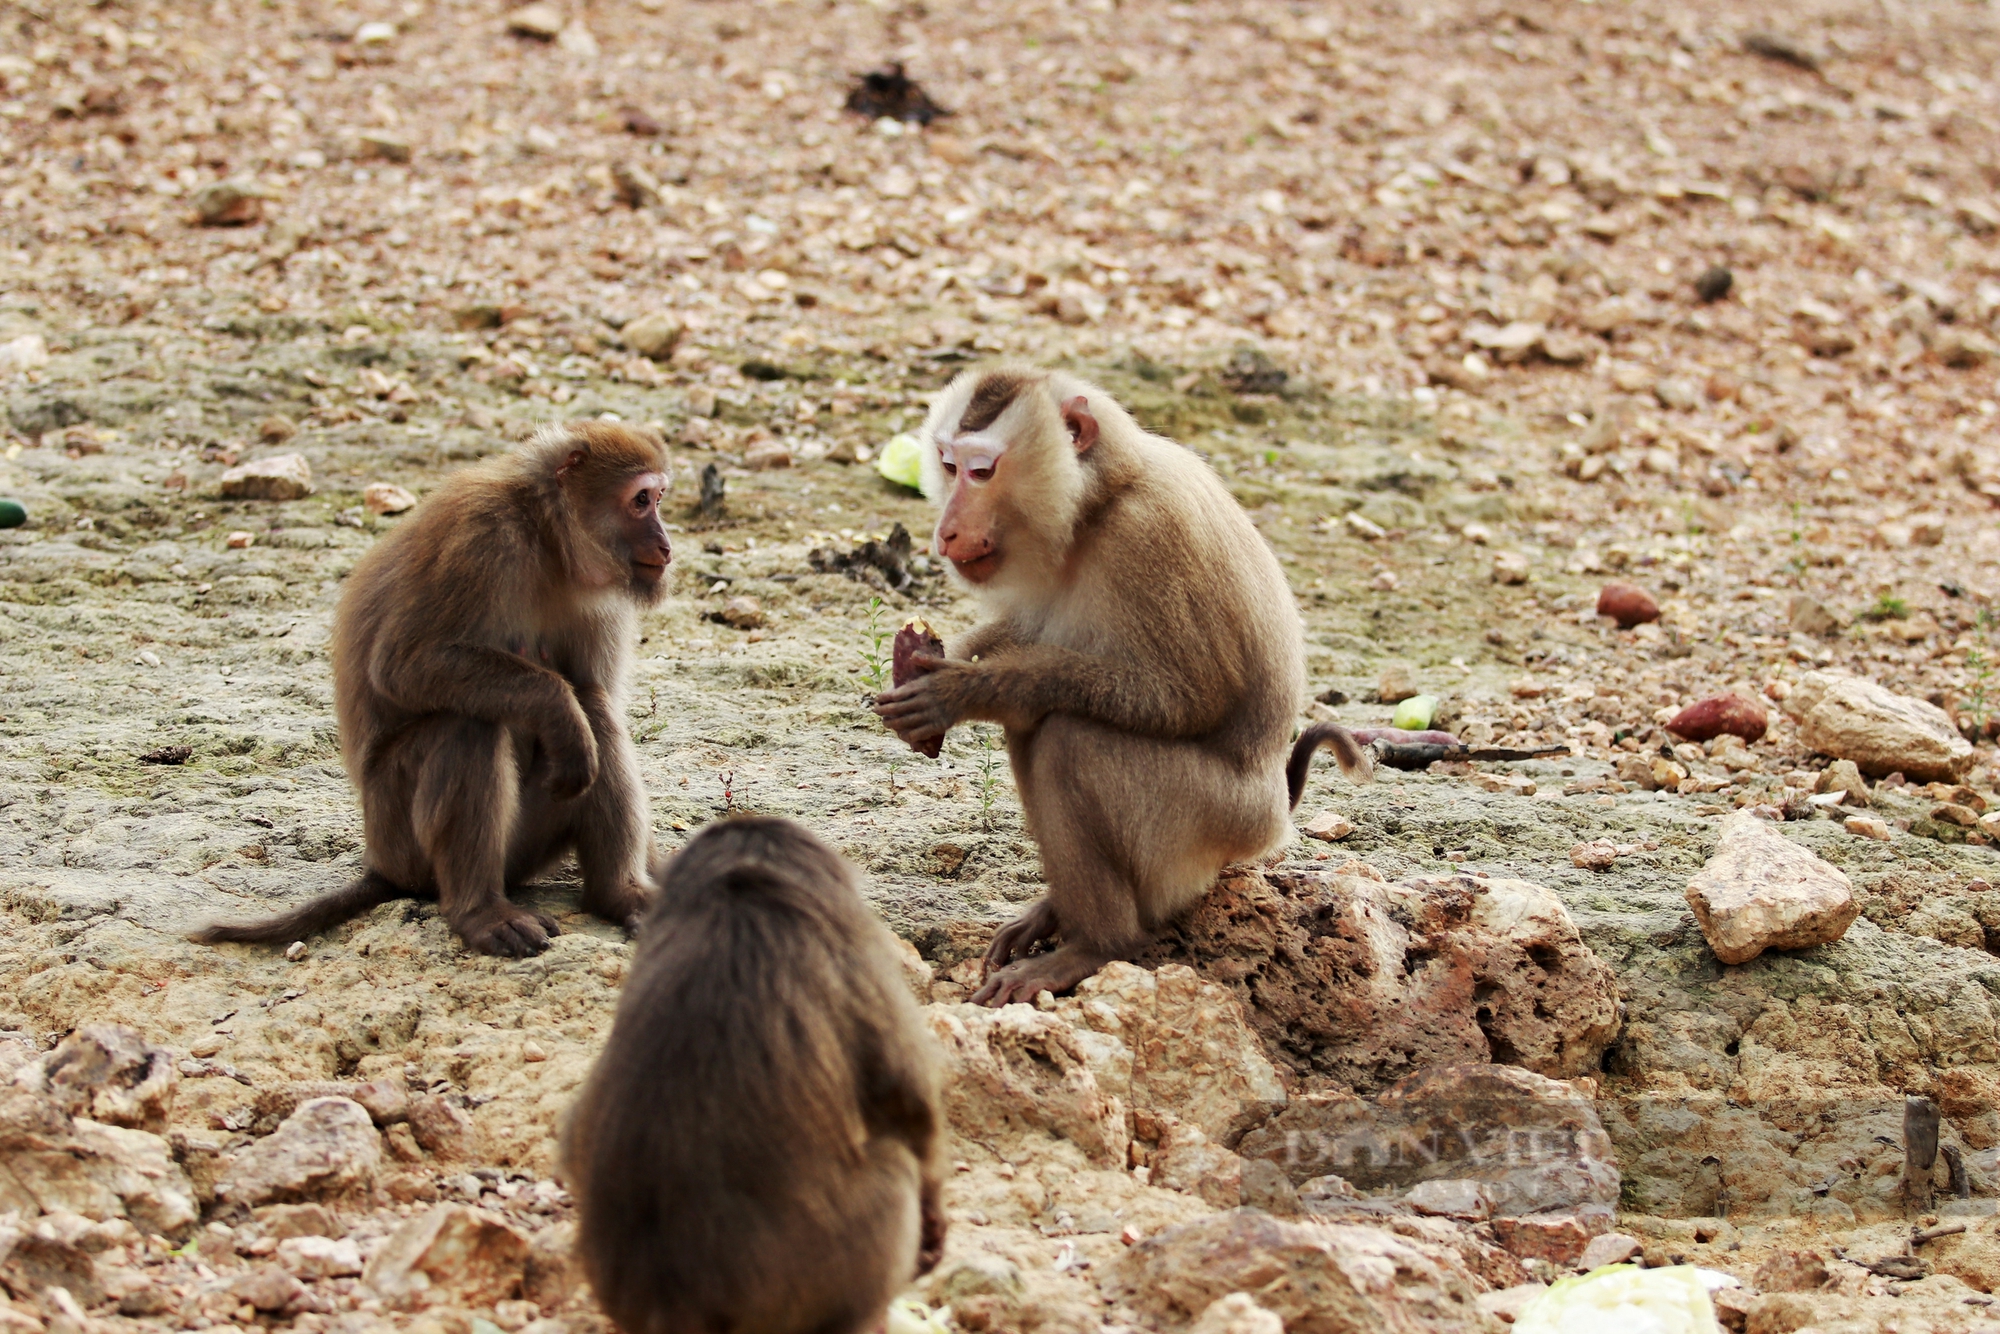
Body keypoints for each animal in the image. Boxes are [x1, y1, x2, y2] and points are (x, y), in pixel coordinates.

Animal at [198, 422, 676, 956]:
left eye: (658, 498)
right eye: (640, 500)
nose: (665, 544)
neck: (547, 538)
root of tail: (380, 863)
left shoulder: (602, 598)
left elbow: (596, 691)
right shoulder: (481, 536)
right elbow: (403, 665)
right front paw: (558, 709)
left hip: (525, 848)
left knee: (594, 709)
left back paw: (617, 894)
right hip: (403, 838)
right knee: (469, 723)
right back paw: (480, 910)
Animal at [556, 820, 944, 1334]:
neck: (735, 897)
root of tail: (673, 1304)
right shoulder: (850, 948)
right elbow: (906, 1101)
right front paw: (935, 1225)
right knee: (896, 1168)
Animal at [876, 366, 1376, 1000]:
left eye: (981, 471)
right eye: (947, 464)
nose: (945, 532)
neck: (1098, 504)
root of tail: (1273, 817)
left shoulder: (1149, 536)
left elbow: (1189, 698)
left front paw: (965, 691)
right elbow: (1022, 628)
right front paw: (934, 661)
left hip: (1209, 824)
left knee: (1068, 740)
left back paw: (1097, 944)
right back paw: (1058, 914)